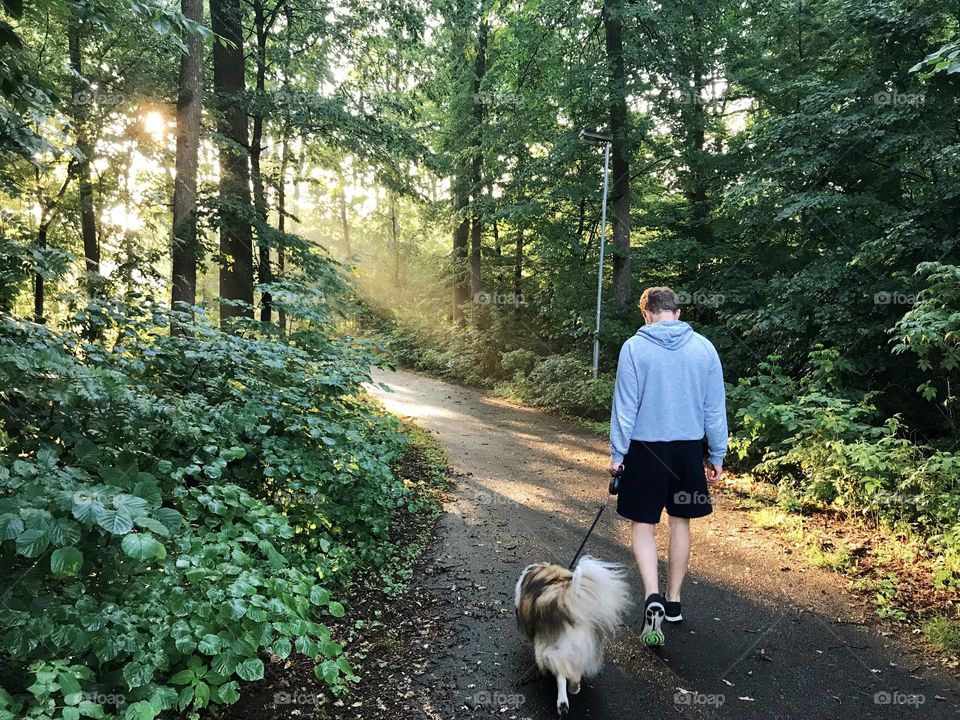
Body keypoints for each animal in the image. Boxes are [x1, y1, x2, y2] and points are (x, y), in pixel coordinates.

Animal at [512, 556, 632, 716]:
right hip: (583, 647)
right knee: (575, 671)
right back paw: (574, 688)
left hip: (556, 649)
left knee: (561, 675)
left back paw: (563, 702)